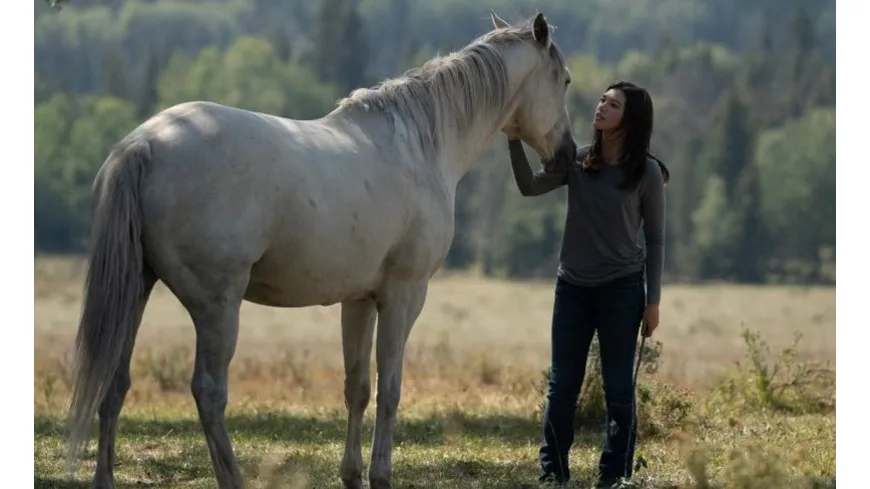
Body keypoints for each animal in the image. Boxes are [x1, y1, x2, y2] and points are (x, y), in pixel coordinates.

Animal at [65, 10, 576, 489]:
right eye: (566, 80)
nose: (568, 156)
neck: (421, 145)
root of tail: (143, 145)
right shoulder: (403, 296)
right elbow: (390, 388)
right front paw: (380, 474)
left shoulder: (359, 301)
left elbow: (357, 387)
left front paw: (351, 474)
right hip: (217, 306)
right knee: (208, 392)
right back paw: (233, 477)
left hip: (136, 289)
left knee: (114, 382)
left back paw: (105, 477)